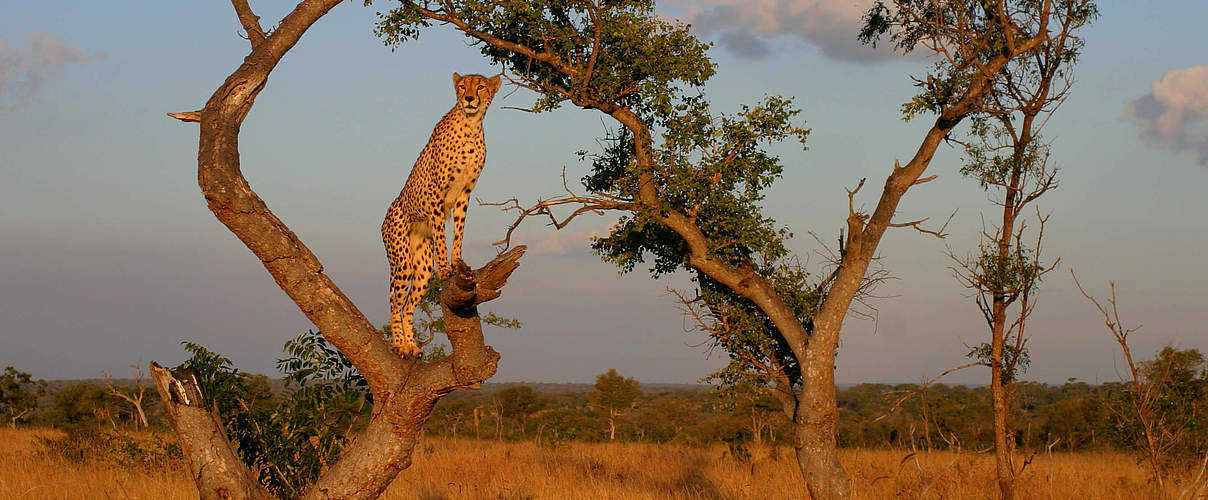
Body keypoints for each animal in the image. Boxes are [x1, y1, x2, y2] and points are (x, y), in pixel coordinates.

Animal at [384, 72, 502, 357]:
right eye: (462, 86)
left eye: (480, 86)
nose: (468, 98)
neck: (471, 125)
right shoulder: (437, 193)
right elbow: (441, 232)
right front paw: (447, 269)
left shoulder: (464, 193)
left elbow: (458, 230)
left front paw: (457, 261)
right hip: (401, 261)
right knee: (394, 303)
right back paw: (399, 345)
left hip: (422, 268)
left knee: (407, 306)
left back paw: (412, 345)